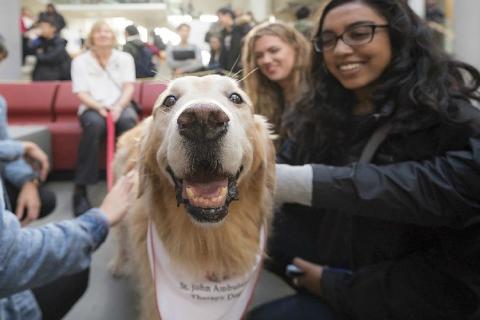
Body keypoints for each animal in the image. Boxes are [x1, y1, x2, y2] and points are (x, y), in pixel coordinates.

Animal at [109, 75, 274, 320]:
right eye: (169, 100)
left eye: (236, 97)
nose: (202, 120)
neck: (209, 241)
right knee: (120, 238)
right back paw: (118, 263)